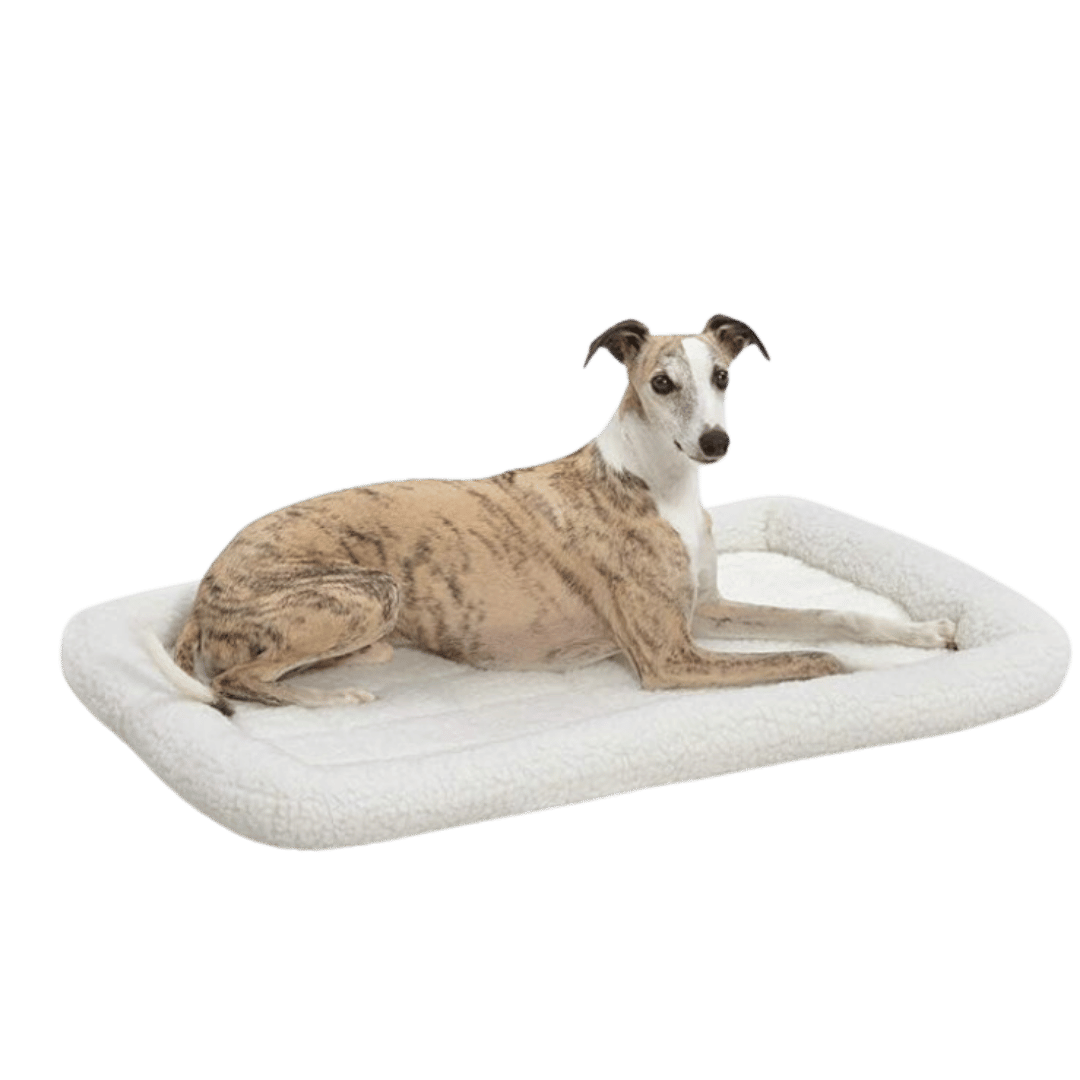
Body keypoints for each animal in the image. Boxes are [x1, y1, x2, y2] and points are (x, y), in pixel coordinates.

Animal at [147, 311, 959, 717]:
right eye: (661, 383)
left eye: (722, 375)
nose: (715, 443)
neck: (657, 485)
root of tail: (209, 582)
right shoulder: (671, 658)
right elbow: (815, 657)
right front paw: (875, 672)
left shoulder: (708, 609)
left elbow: (832, 617)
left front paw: (924, 633)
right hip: (368, 591)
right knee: (236, 680)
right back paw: (335, 696)